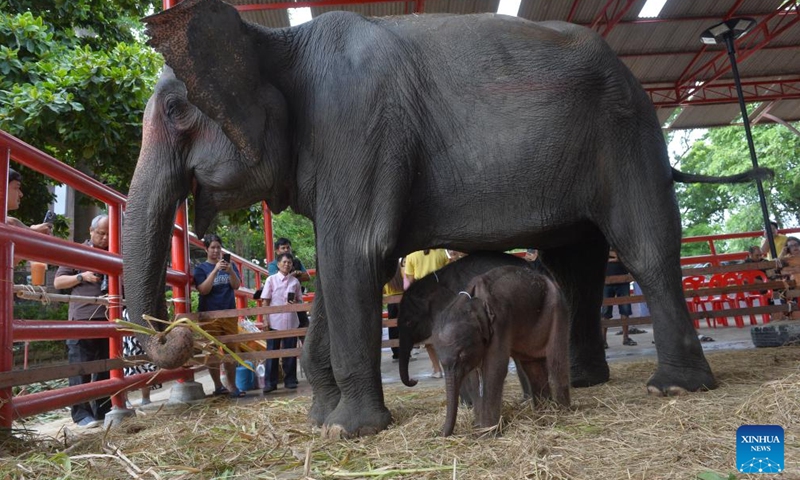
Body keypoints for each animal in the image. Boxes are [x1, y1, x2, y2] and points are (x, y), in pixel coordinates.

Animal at [433, 266, 570, 437]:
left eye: (461, 355)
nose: (437, 434)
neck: (471, 301)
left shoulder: (500, 322)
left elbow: (494, 368)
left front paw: (487, 433)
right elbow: (473, 376)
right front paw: (480, 428)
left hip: (556, 309)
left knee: (556, 361)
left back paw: (562, 412)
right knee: (532, 366)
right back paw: (542, 412)